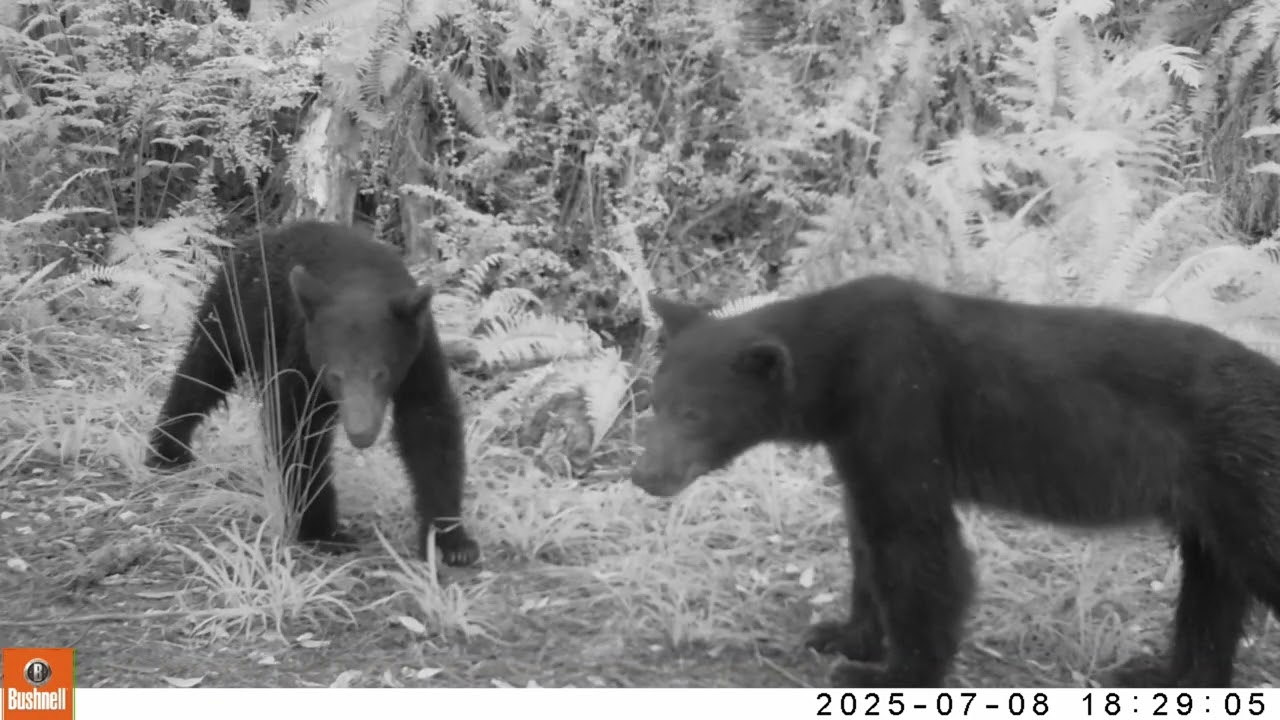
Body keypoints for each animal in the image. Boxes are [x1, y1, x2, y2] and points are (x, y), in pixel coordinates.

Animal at [145, 220, 480, 566]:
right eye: (334, 374)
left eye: (381, 373)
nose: (361, 433)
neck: (361, 277)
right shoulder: (303, 351)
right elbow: (298, 429)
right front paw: (322, 531)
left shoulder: (420, 351)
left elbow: (429, 426)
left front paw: (451, 540)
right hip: (230, 311)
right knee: (200, 372)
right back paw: (167, 449)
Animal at [631, 274, 1280, 688]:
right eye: (655, 402)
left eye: (694, 414)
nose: (644, 475)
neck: (837, 370)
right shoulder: (856, 442)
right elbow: (865, 537)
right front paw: (842, 634)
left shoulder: (900, 402)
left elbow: (915, 544)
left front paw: (890, 671)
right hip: (1214, 496)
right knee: (1213, 583)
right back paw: (1165, 672)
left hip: (1247, 471)